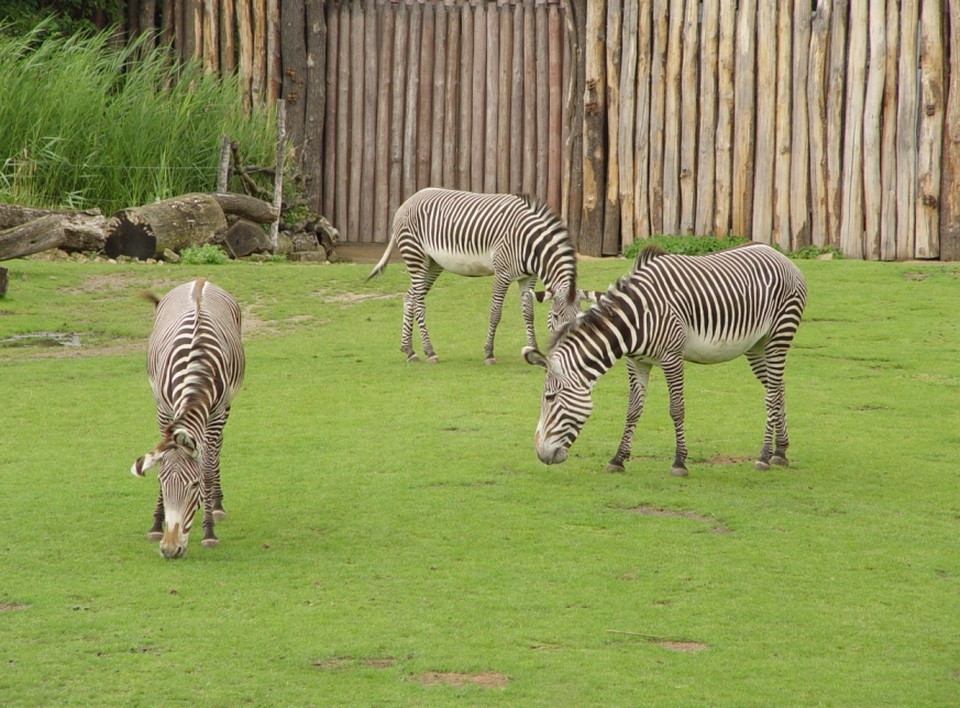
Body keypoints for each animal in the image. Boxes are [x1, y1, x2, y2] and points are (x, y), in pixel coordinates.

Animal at [130, 278, 244, 560]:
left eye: (193, 486)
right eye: (160, 482)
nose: (170, 550)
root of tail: (200, 280)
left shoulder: (214, 414)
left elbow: (207, 468)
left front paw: (209, 531)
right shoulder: (163, 409)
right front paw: (156, 524)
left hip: (226, 407)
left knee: (217, 450)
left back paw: (217, 504)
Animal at [366, 187, 576, 366]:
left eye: (577, 317)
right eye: (556, 316)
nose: (567, 352)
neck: (531, 244)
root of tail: (407, 201)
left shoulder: (528, 277)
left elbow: (528, 313)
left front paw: (533, 349)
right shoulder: (502, 273)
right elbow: (495, 313)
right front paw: (489, 353)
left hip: (433, 263)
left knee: (409, 296)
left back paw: (409, 351)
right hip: (416, 255)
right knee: (418, 301)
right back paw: (430, 352)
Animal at [520, 242, 808, 476]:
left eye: (550, 398)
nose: (541, 454)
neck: (633, 319)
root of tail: (779, 254)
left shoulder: (672, 357)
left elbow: (676, 408)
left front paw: (679, 462)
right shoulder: (636, 361)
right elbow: (633, 409)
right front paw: (618, 459)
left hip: (779, 334)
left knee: (772, 394)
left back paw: (764, 456)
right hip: (756, 345)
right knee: (778, 389)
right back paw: (780, 451)